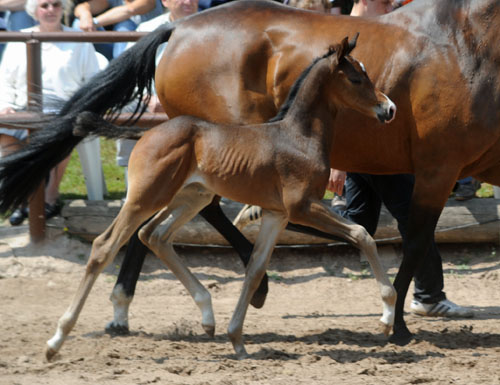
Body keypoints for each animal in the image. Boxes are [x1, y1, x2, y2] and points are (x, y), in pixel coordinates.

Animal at [47, 34, 398, 358]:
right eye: (356, 78)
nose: (389, 108)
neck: (299, 136)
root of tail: (146, 132)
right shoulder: (302, 207)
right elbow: (362, 233)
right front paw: (386, 316)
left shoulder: (278, 214)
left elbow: (255, 269)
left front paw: (237, 339)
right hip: (145, 197)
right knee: (104, 246)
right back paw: (56, 340)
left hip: (189, 197)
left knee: (154, 235)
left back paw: (207, 316)